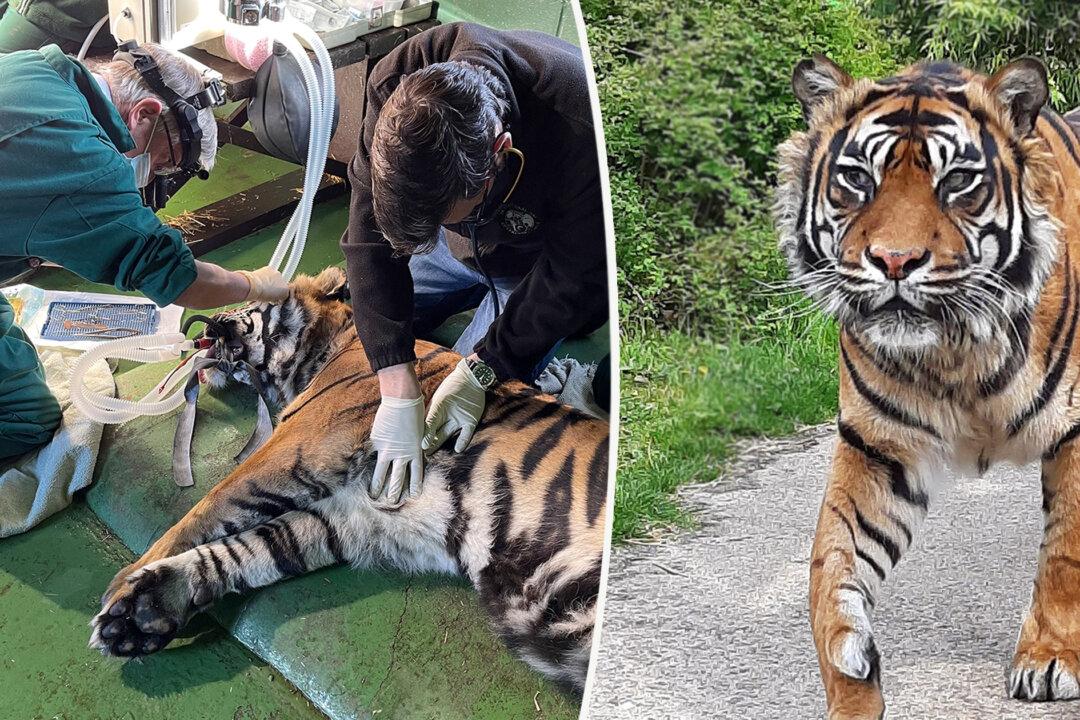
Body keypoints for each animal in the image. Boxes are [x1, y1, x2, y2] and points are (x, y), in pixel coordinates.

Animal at [87, 266, 610, 693]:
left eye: (241, 306)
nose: (206, 319)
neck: (322, 352)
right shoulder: (354, 516)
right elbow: (251, 548)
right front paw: (141, 611)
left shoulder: (300, 445)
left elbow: (211, 504)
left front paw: (120, 582)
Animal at [775, 55, 1080, 718]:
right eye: (857, 179)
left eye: (958, 181)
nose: (895, 260)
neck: (956, 351)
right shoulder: (877, 447)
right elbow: (830, 560)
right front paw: (850, 670)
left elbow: (1066, 548)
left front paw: (1049, 657)